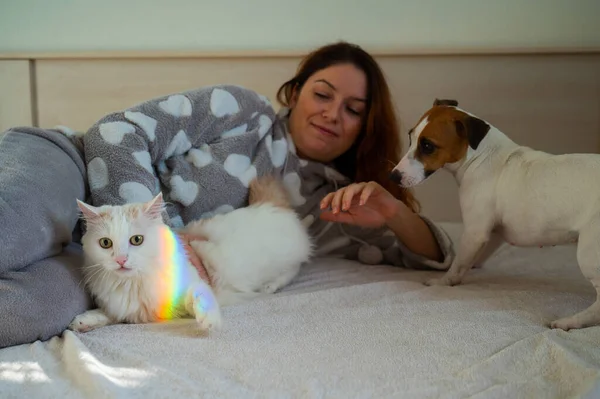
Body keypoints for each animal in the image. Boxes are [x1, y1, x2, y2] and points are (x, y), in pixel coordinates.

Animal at [68, 177, 314, 334]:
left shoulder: (192, 284)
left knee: (294, 268)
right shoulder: (130, 309)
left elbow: (201, 297)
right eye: (106, 243)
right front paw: (83, 321)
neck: (133, 284)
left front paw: (209, 322)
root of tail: (271, 205)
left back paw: (270, 287)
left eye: (136, 240)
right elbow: (107, 314)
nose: (121, 260)